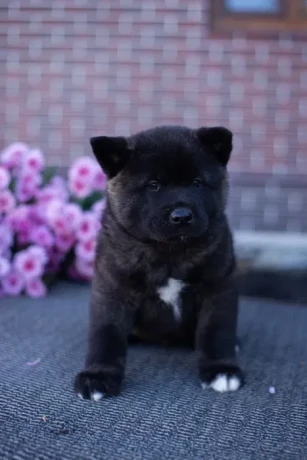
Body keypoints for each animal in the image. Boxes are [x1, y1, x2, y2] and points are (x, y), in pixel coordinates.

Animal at [74, 125, 243, 398]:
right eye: (153, 185)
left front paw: (222, 370)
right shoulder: (112, 289)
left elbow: (216, 331)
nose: (182, 216)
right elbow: (106, 334)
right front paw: (97, 375)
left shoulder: (217, 287)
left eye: (197, 183)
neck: (168, 252)